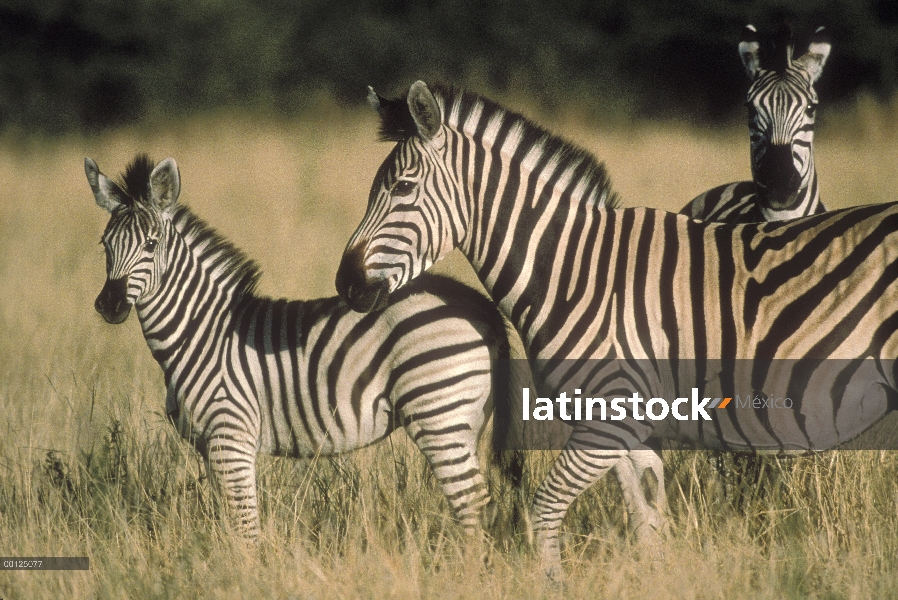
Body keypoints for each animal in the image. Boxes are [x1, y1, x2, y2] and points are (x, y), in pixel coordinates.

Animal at [86, 154, 520, 540]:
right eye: (104, 245)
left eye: (151, 244)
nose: (110, 305)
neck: (201, 332)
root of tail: (481, 305)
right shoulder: (209, 447)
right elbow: (229, 525)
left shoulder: (232, 437)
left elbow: (246, 528)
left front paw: (246, 571)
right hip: (465, 420)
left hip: (438, 413)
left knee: (472, 504)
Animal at [334, 82, 896, 580]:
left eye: (402, 189)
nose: (345, 285)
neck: (577, 271)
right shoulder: (632, 430)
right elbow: (648, 524)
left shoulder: (610, 417)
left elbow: (544, 508)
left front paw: (551, 584)